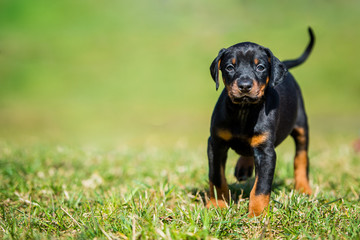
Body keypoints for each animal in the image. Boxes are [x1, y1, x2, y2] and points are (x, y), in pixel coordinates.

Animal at [207, 27, 314, 216]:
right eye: (229, 67)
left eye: (260, 67)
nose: (244, 85)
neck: (244, 110)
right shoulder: (215, 144)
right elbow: (216, 177)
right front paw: (217, 204)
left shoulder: (266, 153)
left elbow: (261, 187)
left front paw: (257, 214)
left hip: (301, 125)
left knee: (301, 157)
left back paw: (304, 188)